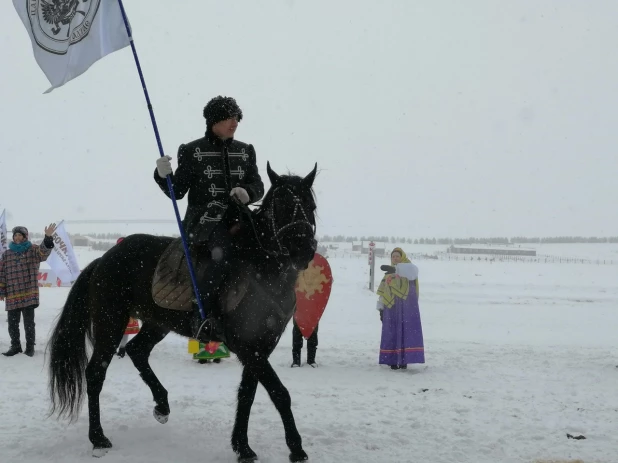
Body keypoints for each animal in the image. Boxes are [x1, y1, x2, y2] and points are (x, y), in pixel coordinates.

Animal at [48, 162, 318, 460]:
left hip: (157, 322)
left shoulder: (262, 344)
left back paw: (162, 404)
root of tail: (103, 259)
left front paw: (243, 446)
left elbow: (247, 394)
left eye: (311, 205)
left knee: (137, 350)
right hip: (111, 323)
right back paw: (98, 437)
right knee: (96, 372)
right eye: (280, 205)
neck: (263, 269)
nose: (304, 249)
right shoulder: (246, 345)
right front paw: (296, 448)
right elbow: (279, 392)